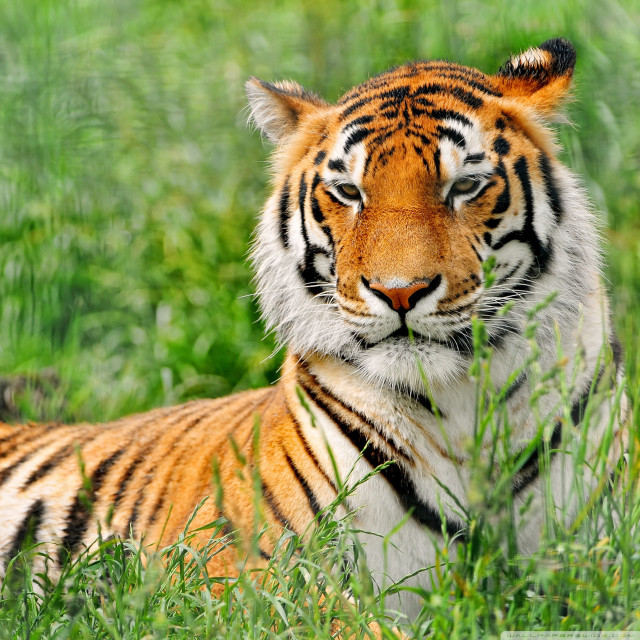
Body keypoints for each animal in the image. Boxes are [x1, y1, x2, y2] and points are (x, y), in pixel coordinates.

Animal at [0, 38, 628, 620]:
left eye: (465, 186)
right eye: (349, 192)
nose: (399, 292)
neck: (464, 409)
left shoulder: (598, 557)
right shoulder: (241, 574)